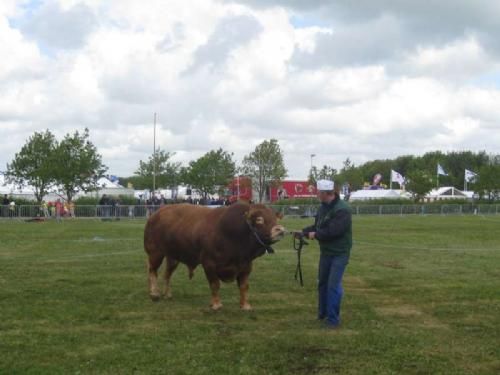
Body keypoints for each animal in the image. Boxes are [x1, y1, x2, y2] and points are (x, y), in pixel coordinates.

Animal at [145, 203, 286, 312]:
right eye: (259, 219)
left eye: (275, 218)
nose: (280, 229)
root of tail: (155, 214)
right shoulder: (209, 264)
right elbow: (215, 284)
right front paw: (216, 304)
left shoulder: (246, 265)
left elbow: (244, 286)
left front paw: (245, 305)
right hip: (155, 252)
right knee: (152, 271)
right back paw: (154, 293)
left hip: (173, 257)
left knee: (167, 274)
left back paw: (167, 294)